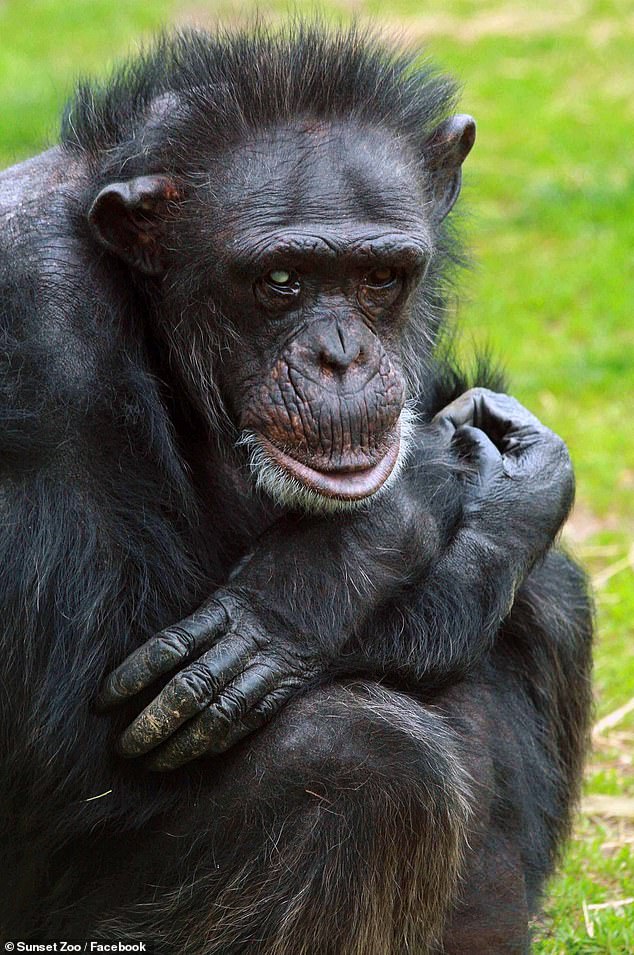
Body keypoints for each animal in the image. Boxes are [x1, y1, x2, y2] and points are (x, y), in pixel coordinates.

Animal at [1, 26, 592, 952]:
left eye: (381, 279)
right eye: (280, 281)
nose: (340, 357)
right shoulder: (31, 317)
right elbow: (67, 726)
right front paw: (402, 506)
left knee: (546, 592)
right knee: (361, 757)